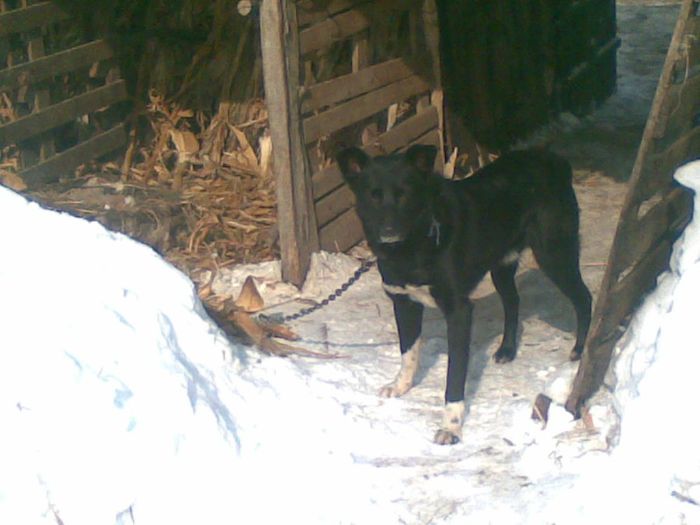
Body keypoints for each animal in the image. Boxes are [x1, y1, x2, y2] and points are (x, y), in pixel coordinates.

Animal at [340, 145, 592, 444]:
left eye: (405, 194)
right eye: (373, 195)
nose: (389, 231)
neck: (414, 248)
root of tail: (553, 158)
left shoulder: (458, 311)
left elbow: (455, 376)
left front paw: (451, 427)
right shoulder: (404, 304)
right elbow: (408, 354)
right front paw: (401, 385)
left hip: (554, 254)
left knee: (584, 298)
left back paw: (580, 349)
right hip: (502, 265)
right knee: (513, 302)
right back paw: (507, 350)